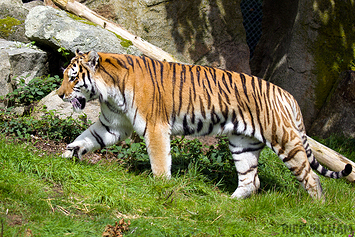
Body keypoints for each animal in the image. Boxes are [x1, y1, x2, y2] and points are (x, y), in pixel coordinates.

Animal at [57, 50, 352, 200]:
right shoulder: (113, 125)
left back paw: (317, 207)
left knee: (311, 178)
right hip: (242, 144)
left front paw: (160, 188)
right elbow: (86, 138)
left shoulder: (155, 127)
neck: (109, 90)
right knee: (250, 180)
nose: (59, 95)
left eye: (72, 78)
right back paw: (230, 203)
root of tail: (286, 94)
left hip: (285, 140)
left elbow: (159, 160)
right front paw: (65, 155)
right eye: (64, 77)